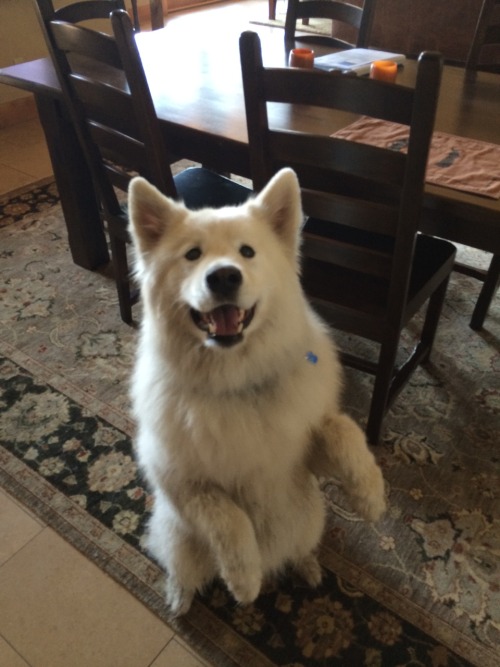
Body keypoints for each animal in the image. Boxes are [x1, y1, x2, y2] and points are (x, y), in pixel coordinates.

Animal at [129, 167, 386, 616]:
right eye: (193, 255)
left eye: (247, 252)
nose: (224, 275)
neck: (236, 382)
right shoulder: (182, 484)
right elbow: (229, 518)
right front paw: (245, 580)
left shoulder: (305, 453)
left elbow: (342, 431)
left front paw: (370, 495)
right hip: (179, 538)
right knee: (180, 568)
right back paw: (179, 598)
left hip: (310, 520)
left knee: (300, 548)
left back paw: (308, 567)